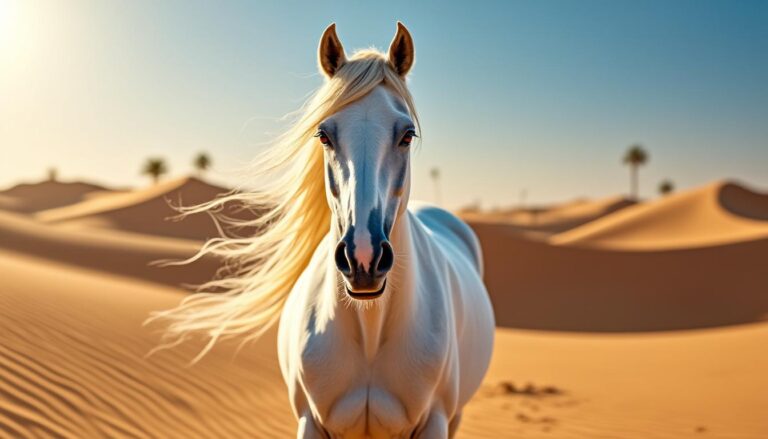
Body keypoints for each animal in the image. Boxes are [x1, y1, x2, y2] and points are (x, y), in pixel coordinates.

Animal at [152, 22, 494, 438]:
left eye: (407, 134)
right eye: (324, 135)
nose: (363, 258)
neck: (370, 333)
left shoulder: (435, 422)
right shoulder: (310, 421)